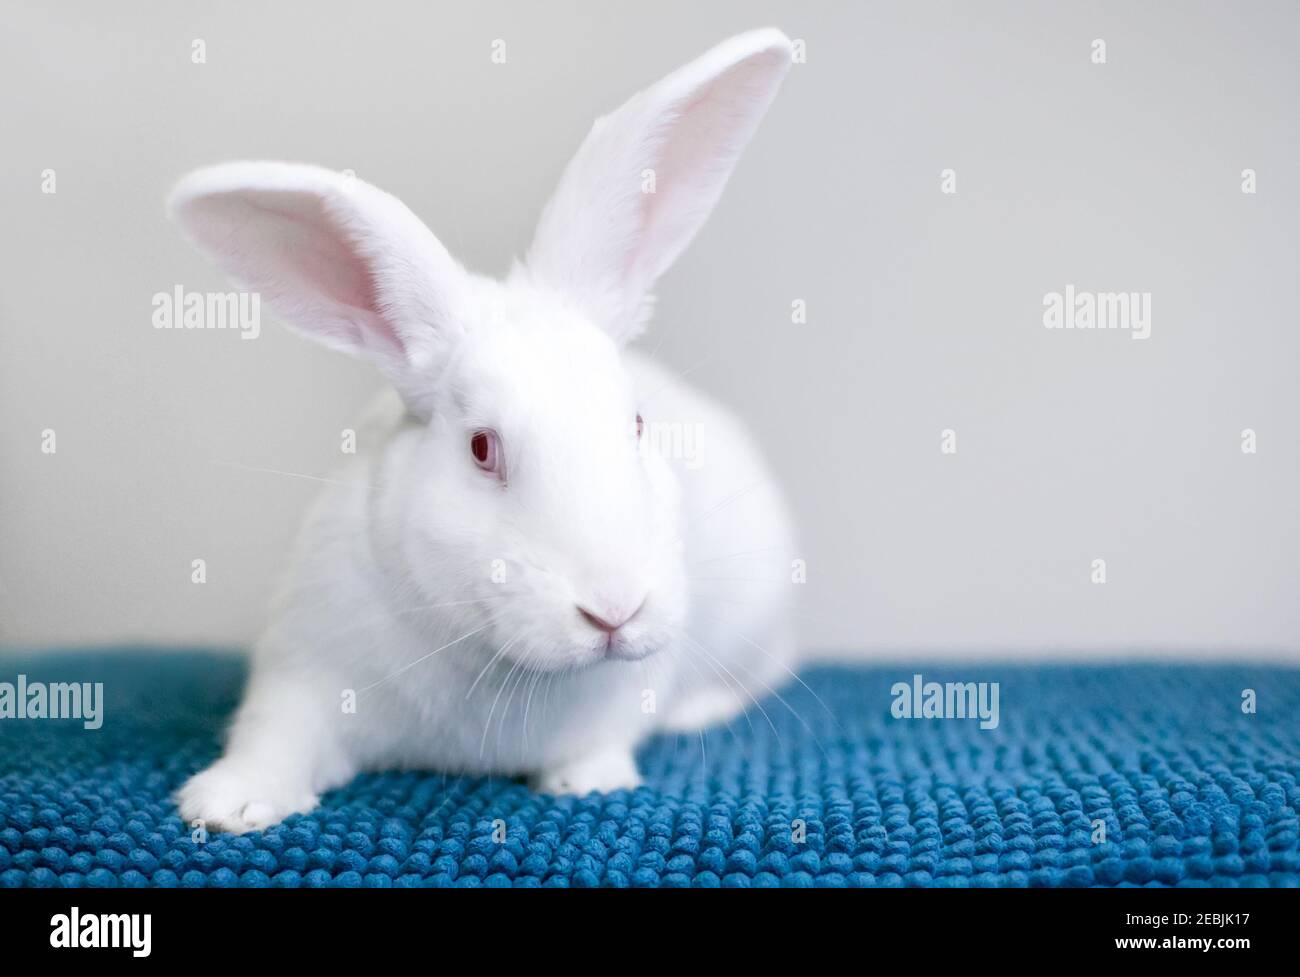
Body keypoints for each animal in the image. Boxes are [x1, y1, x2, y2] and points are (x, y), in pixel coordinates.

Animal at [171, 28, 799, 833]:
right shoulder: (302, 667)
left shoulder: (626, 695)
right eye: (481, 448)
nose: (614, 611)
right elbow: (274, 738)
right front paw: (227, 804)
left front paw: (588, 784)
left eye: (635, 424)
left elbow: (601, 739)